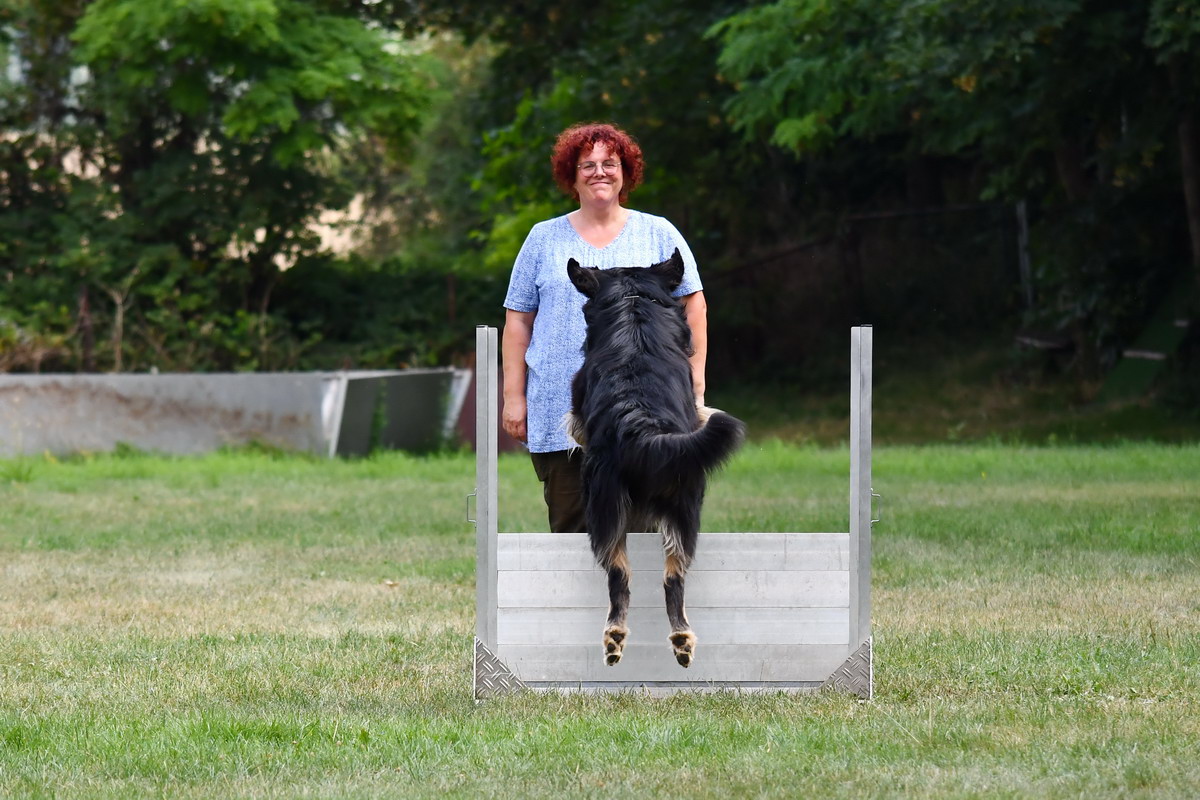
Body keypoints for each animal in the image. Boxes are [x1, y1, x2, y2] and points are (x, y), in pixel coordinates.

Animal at [566, 250, 744, 671]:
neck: (634, 308)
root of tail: (639, 426)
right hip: (685, 506)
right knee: (673, 578)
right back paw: (681, 641)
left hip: (603, 510)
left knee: (619, 575)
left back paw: (614, 638)